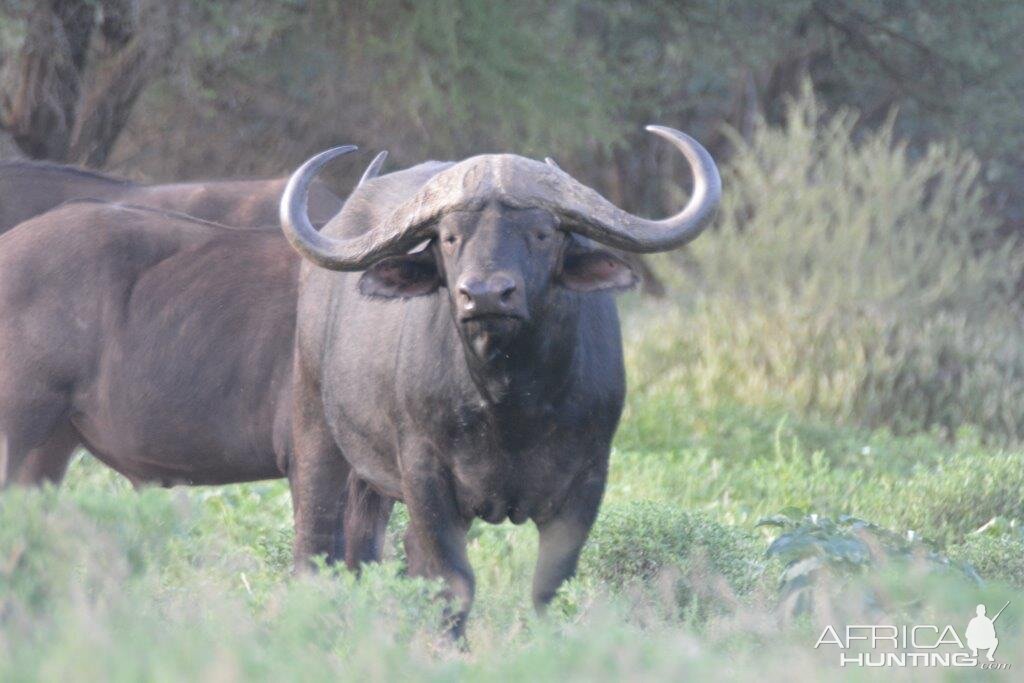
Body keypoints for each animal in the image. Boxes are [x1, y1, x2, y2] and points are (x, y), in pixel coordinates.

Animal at [276, 126, 716, 634]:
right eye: (449, 237)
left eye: (541, 233)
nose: (485, 295)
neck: (510, 400)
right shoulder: (426, 476)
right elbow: (454, 583)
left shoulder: (587, 479)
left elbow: (549, 586)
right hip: (314, 427)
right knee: (316, 536)